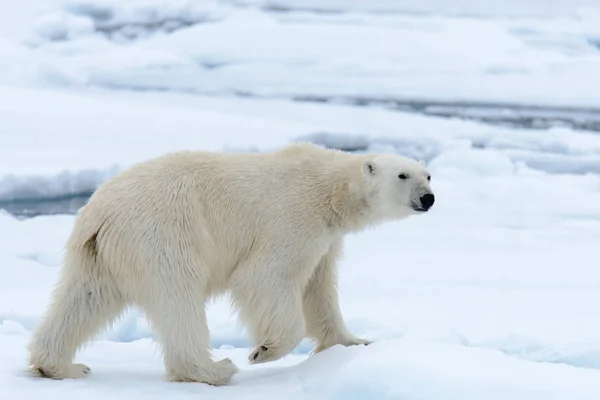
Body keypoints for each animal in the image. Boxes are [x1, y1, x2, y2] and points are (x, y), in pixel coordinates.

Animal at [28, 143, 434, 384]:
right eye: (403, 175)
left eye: (427, 174)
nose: (428, 198)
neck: (328, 190)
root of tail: (99, 212)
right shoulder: (292, 219)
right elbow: (266, 277)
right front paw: (264, 351)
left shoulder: (326, 238)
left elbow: (319, 290)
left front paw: (355, 342)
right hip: (164, 234)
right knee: (179, 298)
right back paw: (213, 369)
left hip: (98, 254)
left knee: (84, 299)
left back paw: (61, 365)